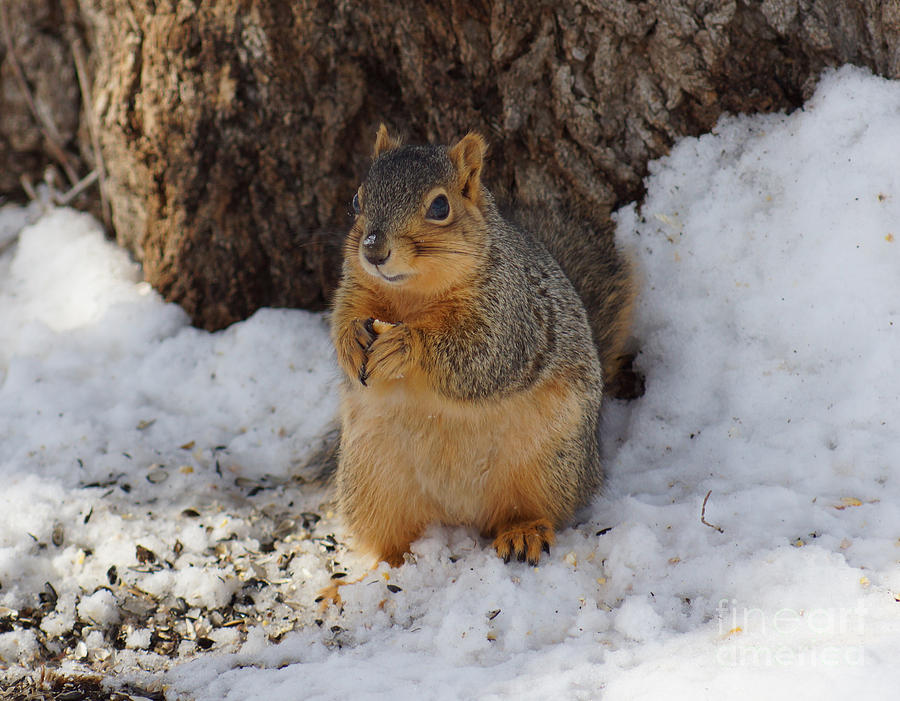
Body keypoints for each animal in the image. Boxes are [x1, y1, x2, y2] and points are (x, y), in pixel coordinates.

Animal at [328, 124, 632, 564]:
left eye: (440, 206)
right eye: (356, 199)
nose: (373, 250)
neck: (411, 297)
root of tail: (460, 511)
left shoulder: (512, 314)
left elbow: (481, 357)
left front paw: (405, 345)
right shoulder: (354, 290)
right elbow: (340, 320)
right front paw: (351, 342)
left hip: (549, 463)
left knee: (536, 508)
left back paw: (523, 533)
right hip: (371, 481)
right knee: (390, 532)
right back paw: (390, 565)